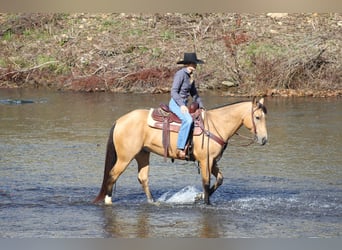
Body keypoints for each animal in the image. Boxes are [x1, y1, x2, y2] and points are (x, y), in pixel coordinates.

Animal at [93, 96, 268, 204]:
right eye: (257, 117)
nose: (264, 139)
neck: (216, 125)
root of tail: (119, 120)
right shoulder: (205, 161)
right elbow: (206, 182)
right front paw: (206, 202)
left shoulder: (212, 161)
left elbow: (219, 179)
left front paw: (198, 197)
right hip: (125, 157)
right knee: (113, 174)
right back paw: (108, 201)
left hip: (142, 154)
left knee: (143, 178)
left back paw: (153, 202)